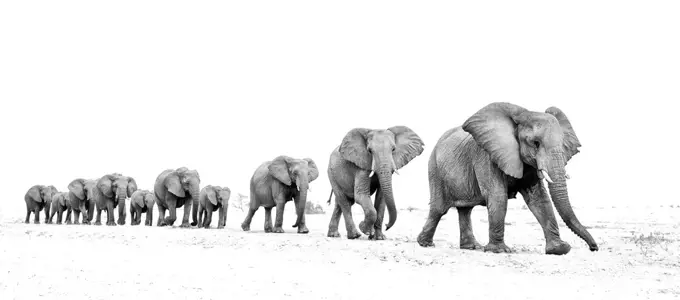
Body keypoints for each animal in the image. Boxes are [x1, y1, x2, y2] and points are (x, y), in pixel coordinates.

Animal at [414, 102, 600, 254]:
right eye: (535, 143)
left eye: (563, 144)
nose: (594, 248)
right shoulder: (487, 155)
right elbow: (498, 196)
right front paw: (500, 251)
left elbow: (540, 199)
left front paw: (559, 249)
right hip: (434, 169)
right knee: (439, 209)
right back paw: (425, 244)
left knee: (465, 209)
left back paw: (471, 247)